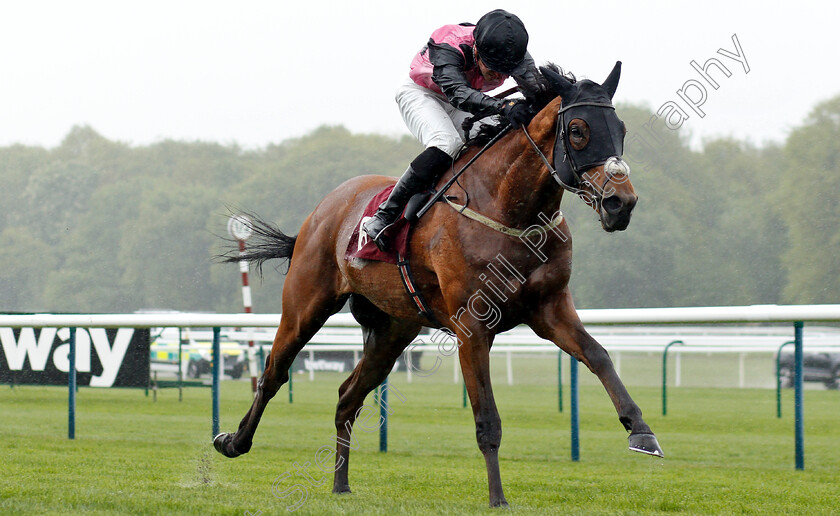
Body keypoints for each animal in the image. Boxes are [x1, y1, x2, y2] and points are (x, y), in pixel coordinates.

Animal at [213, 61, 660, 508]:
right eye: (579, 131)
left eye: (620, 128)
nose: (622, 203)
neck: (507, 207)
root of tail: (321, 210)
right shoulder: (472, 325)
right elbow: (487, 419)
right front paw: (498, 498)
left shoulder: (550, 309)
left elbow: (598, 356)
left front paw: (641, 431)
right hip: (306, 305)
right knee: (274, 374)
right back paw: (233, 441)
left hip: (392, 330)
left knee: (346, 398)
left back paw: (340, 484)